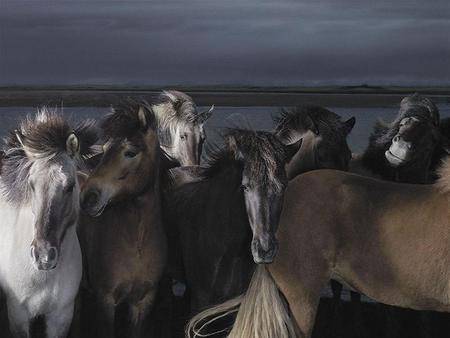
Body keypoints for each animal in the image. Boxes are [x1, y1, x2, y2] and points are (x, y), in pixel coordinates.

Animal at [0, 109, 97, 336]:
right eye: (31, 184)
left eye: (70, 186)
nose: (43, 256)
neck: (41, 276)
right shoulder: (17, 315)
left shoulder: (61, 317)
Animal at [78, 103, 167, 338]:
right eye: (105, 148)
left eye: (130, 152)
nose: (88, 197)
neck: (137, 242)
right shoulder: (106, 300)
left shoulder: (143, 303)